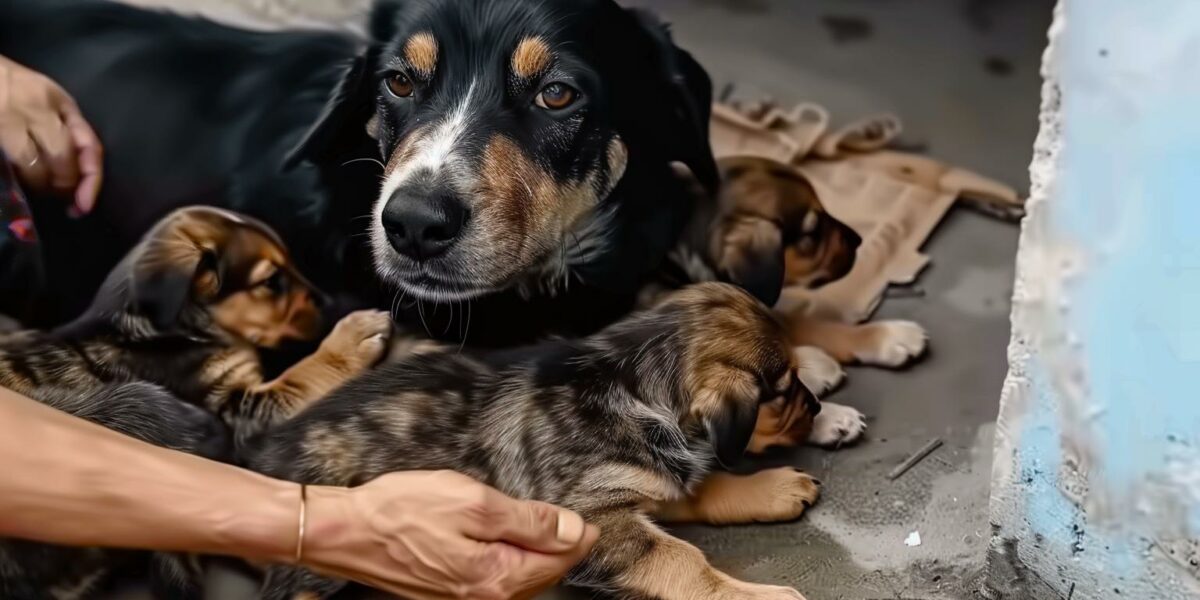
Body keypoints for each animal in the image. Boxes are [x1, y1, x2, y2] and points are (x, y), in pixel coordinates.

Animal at [0, 206, 391, 600]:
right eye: (270, 282)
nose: (331, 304)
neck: (166, 329)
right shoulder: (239, 412)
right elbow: (300, 375)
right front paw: (351, 338)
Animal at [244, 282, 825, 600]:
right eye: (780, 393)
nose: (818, 408)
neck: (630, 378)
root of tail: (263, 456)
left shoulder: (641, 482)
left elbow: (706, 485)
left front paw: (772, 488)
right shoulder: (591, 512)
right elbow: (684, 560)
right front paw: (760, 594)